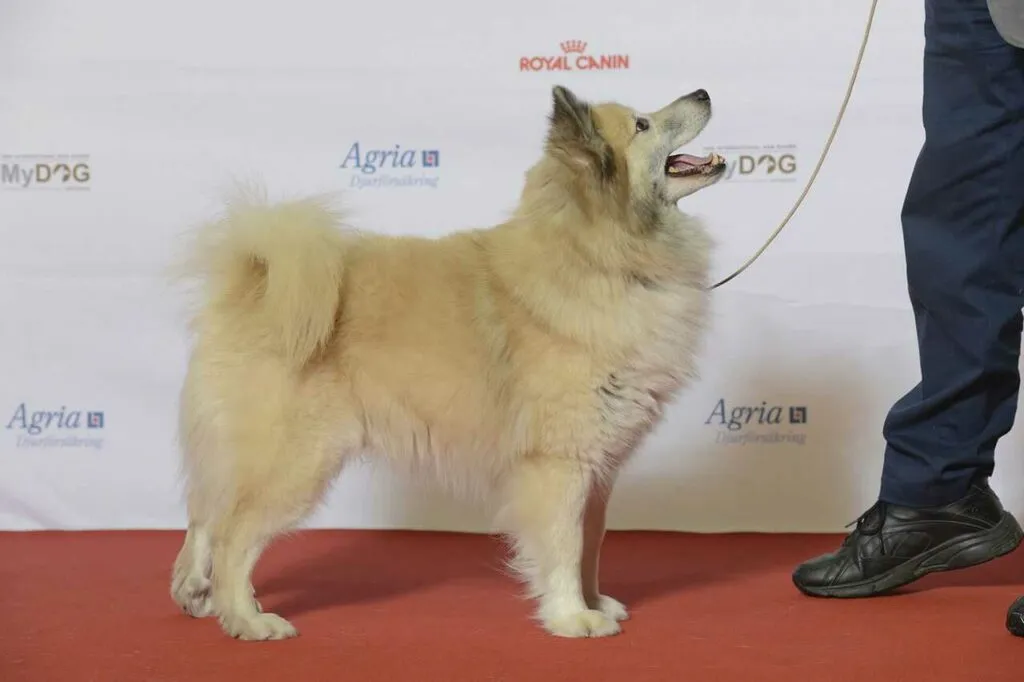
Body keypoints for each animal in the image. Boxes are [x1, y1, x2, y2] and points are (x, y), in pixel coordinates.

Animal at [169, 83, 729, 638]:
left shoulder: (598, 469)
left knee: (205, 515)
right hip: (297, 462)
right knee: (232, 535)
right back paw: (246, 618)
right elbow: (564, 547)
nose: (703, 92)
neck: (598, 256)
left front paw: (594, 602)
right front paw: (572, 617)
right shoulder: (560, 463)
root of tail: (255, 283)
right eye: (642, 125)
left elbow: (591, 545)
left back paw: (195, 591)